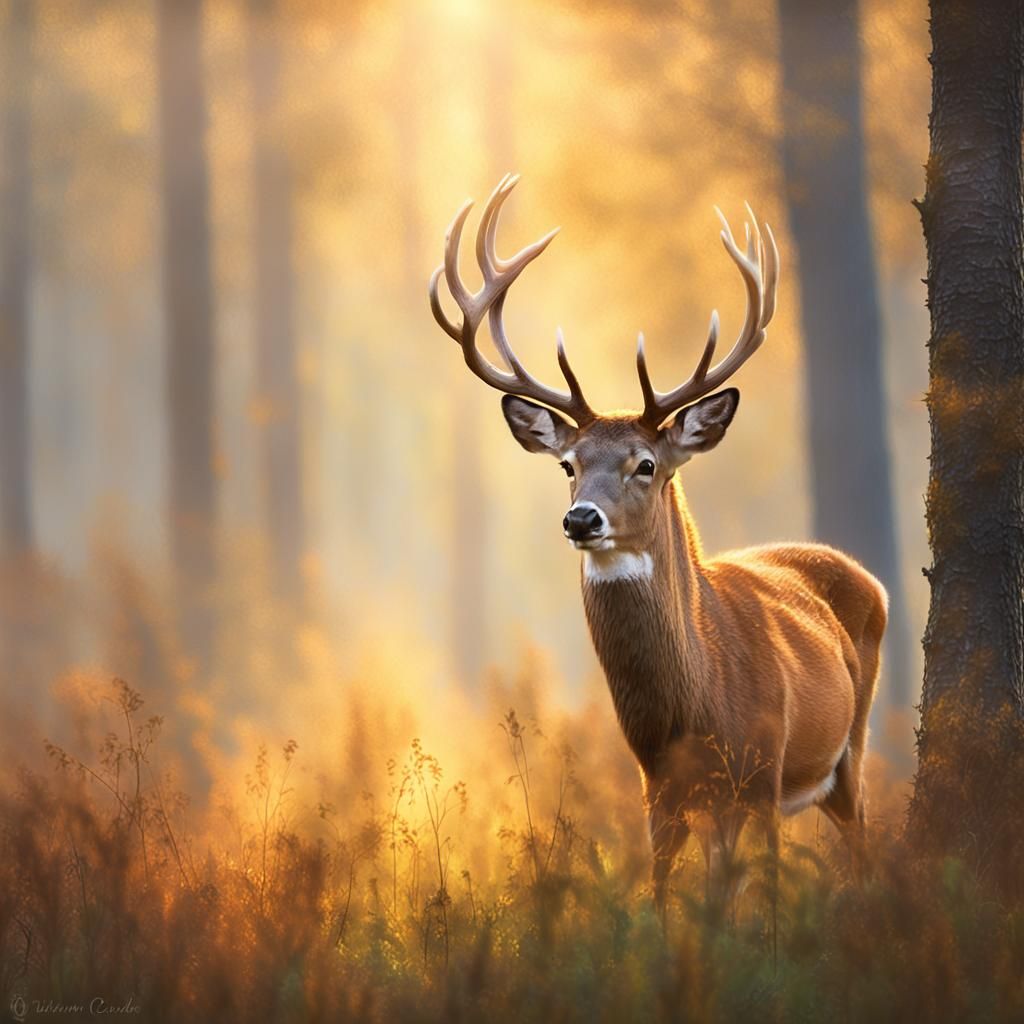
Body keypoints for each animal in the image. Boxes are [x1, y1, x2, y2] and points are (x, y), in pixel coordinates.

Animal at [429, 174, 887, 921]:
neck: (699, 708)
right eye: (568, 464)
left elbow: (762, 905)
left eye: (645, 464)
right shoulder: (660, 792)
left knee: (860, 842)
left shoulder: (761, 777)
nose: (581, 519)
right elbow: (668, 900)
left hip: (850, 746)